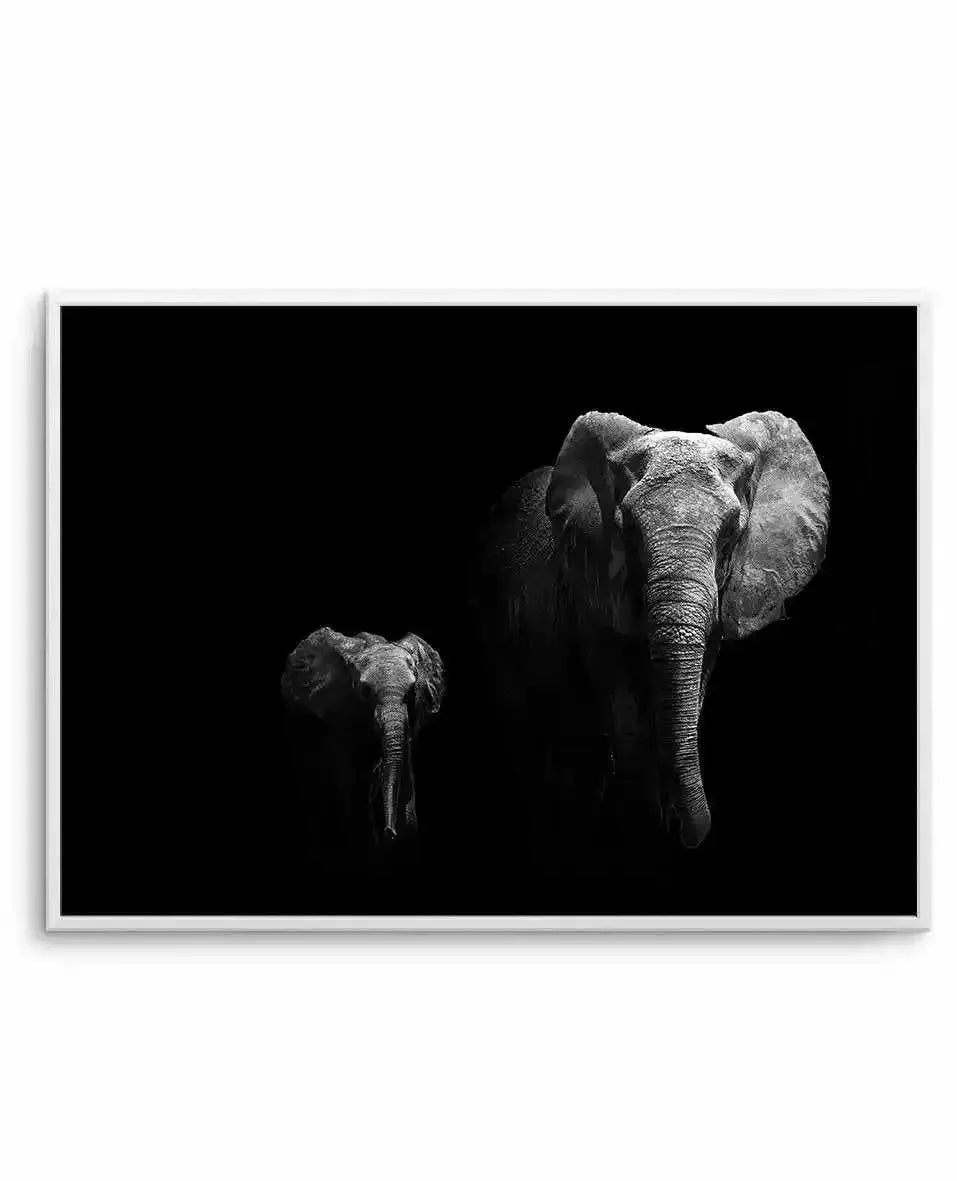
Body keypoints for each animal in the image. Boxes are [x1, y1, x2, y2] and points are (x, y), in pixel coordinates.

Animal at [280, 628, 446, 850]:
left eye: (412, 692)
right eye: (365, 692)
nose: (389, 832)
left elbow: (404, 774)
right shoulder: (340, 715)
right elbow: (351, 783)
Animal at [479, 409, 829, 851]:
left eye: (731, 534)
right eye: (628, 530)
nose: (687, 832)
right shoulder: (592, 596)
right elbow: (626, 713)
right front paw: (646, 830)